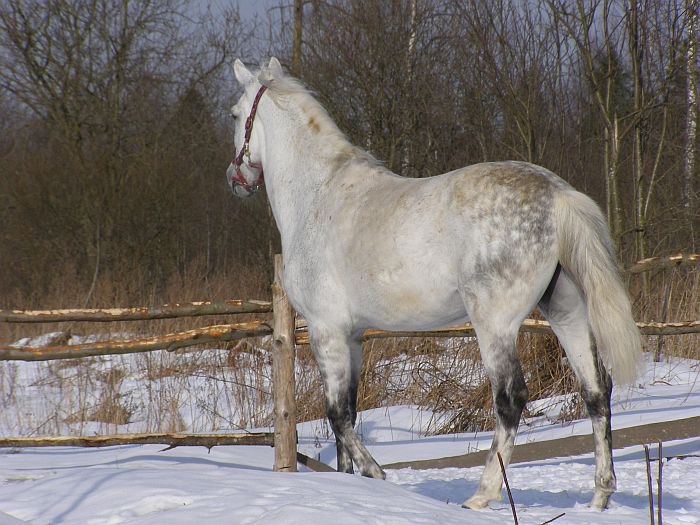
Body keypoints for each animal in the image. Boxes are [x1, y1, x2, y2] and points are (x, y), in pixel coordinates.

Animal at [227, 56, 644, 508]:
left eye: (233, 114)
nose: (235, 178)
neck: (319, 195)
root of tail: (559, 196)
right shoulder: (352, 335)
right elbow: (347, 416)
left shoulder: (326, 329)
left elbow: (336, 415)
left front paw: (377, 475)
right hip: (566, 311)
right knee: (596, 392)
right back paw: (599, 497)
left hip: (494, 325)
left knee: (511, 399)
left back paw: (481, 496)